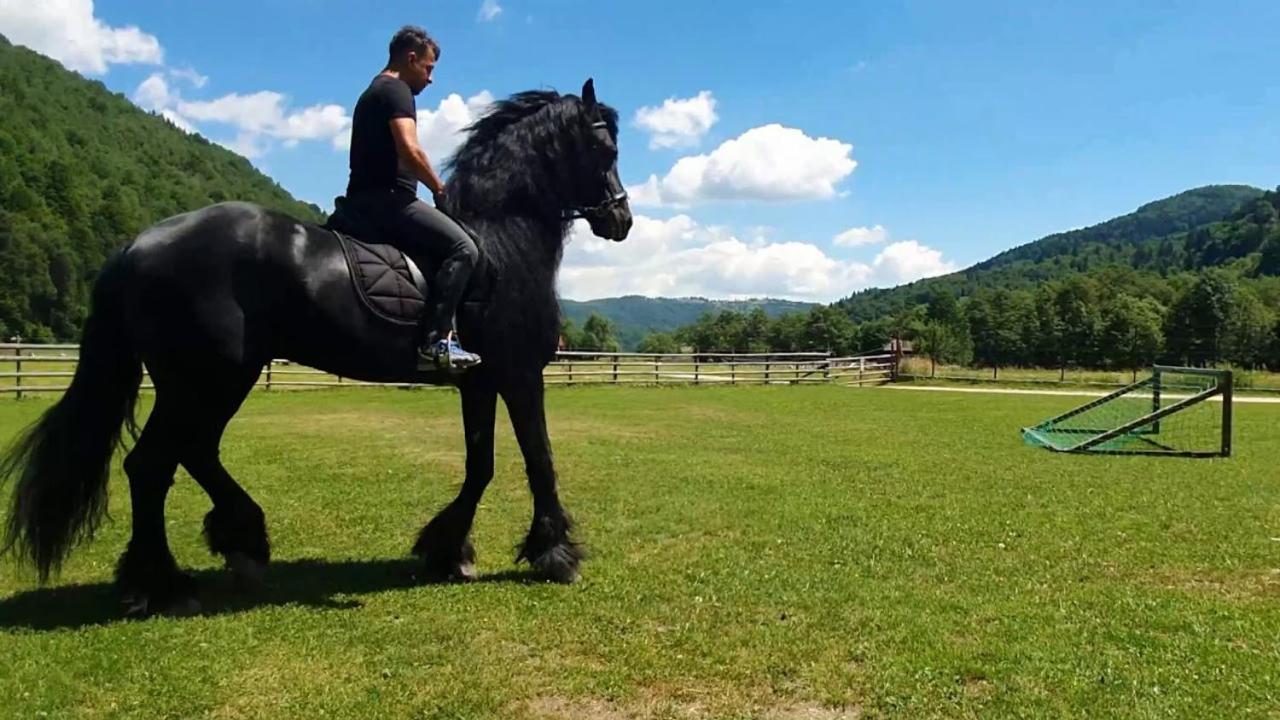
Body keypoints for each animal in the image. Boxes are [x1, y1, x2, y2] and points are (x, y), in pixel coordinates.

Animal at [0, 81, 629, 614]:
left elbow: (481, 466)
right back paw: (164, 584)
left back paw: (240, 541)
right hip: (206, 378)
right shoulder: (520, 374)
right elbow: (538, 459)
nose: (621, 219)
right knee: (152, 465)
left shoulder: (479, 379)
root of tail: (136, 244)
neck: (501, 238)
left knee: (193, 452)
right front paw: (556, 554)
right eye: (603, 145)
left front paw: (447, 550)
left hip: (214, 379)